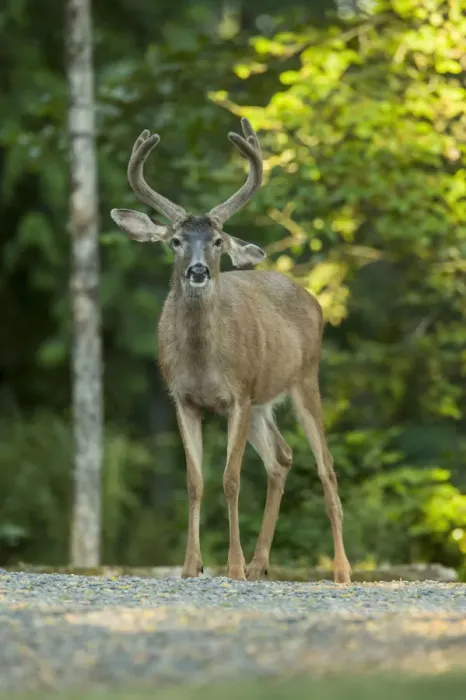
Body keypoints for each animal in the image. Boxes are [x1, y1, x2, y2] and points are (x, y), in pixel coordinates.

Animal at [110, 117, 351, 584]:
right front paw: (192, 566)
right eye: (175, 241)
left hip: (304, 379)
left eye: (219, 240)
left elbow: (231, 479)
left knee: (326, 466)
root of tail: (312, 300)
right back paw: (261, 563)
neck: (204, 361)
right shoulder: (184, 400)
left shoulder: (237, 395)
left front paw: (233, 567)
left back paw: (340, 571)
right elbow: (195, 481)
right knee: (281, 457)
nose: (198, 271)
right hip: (261, 402)